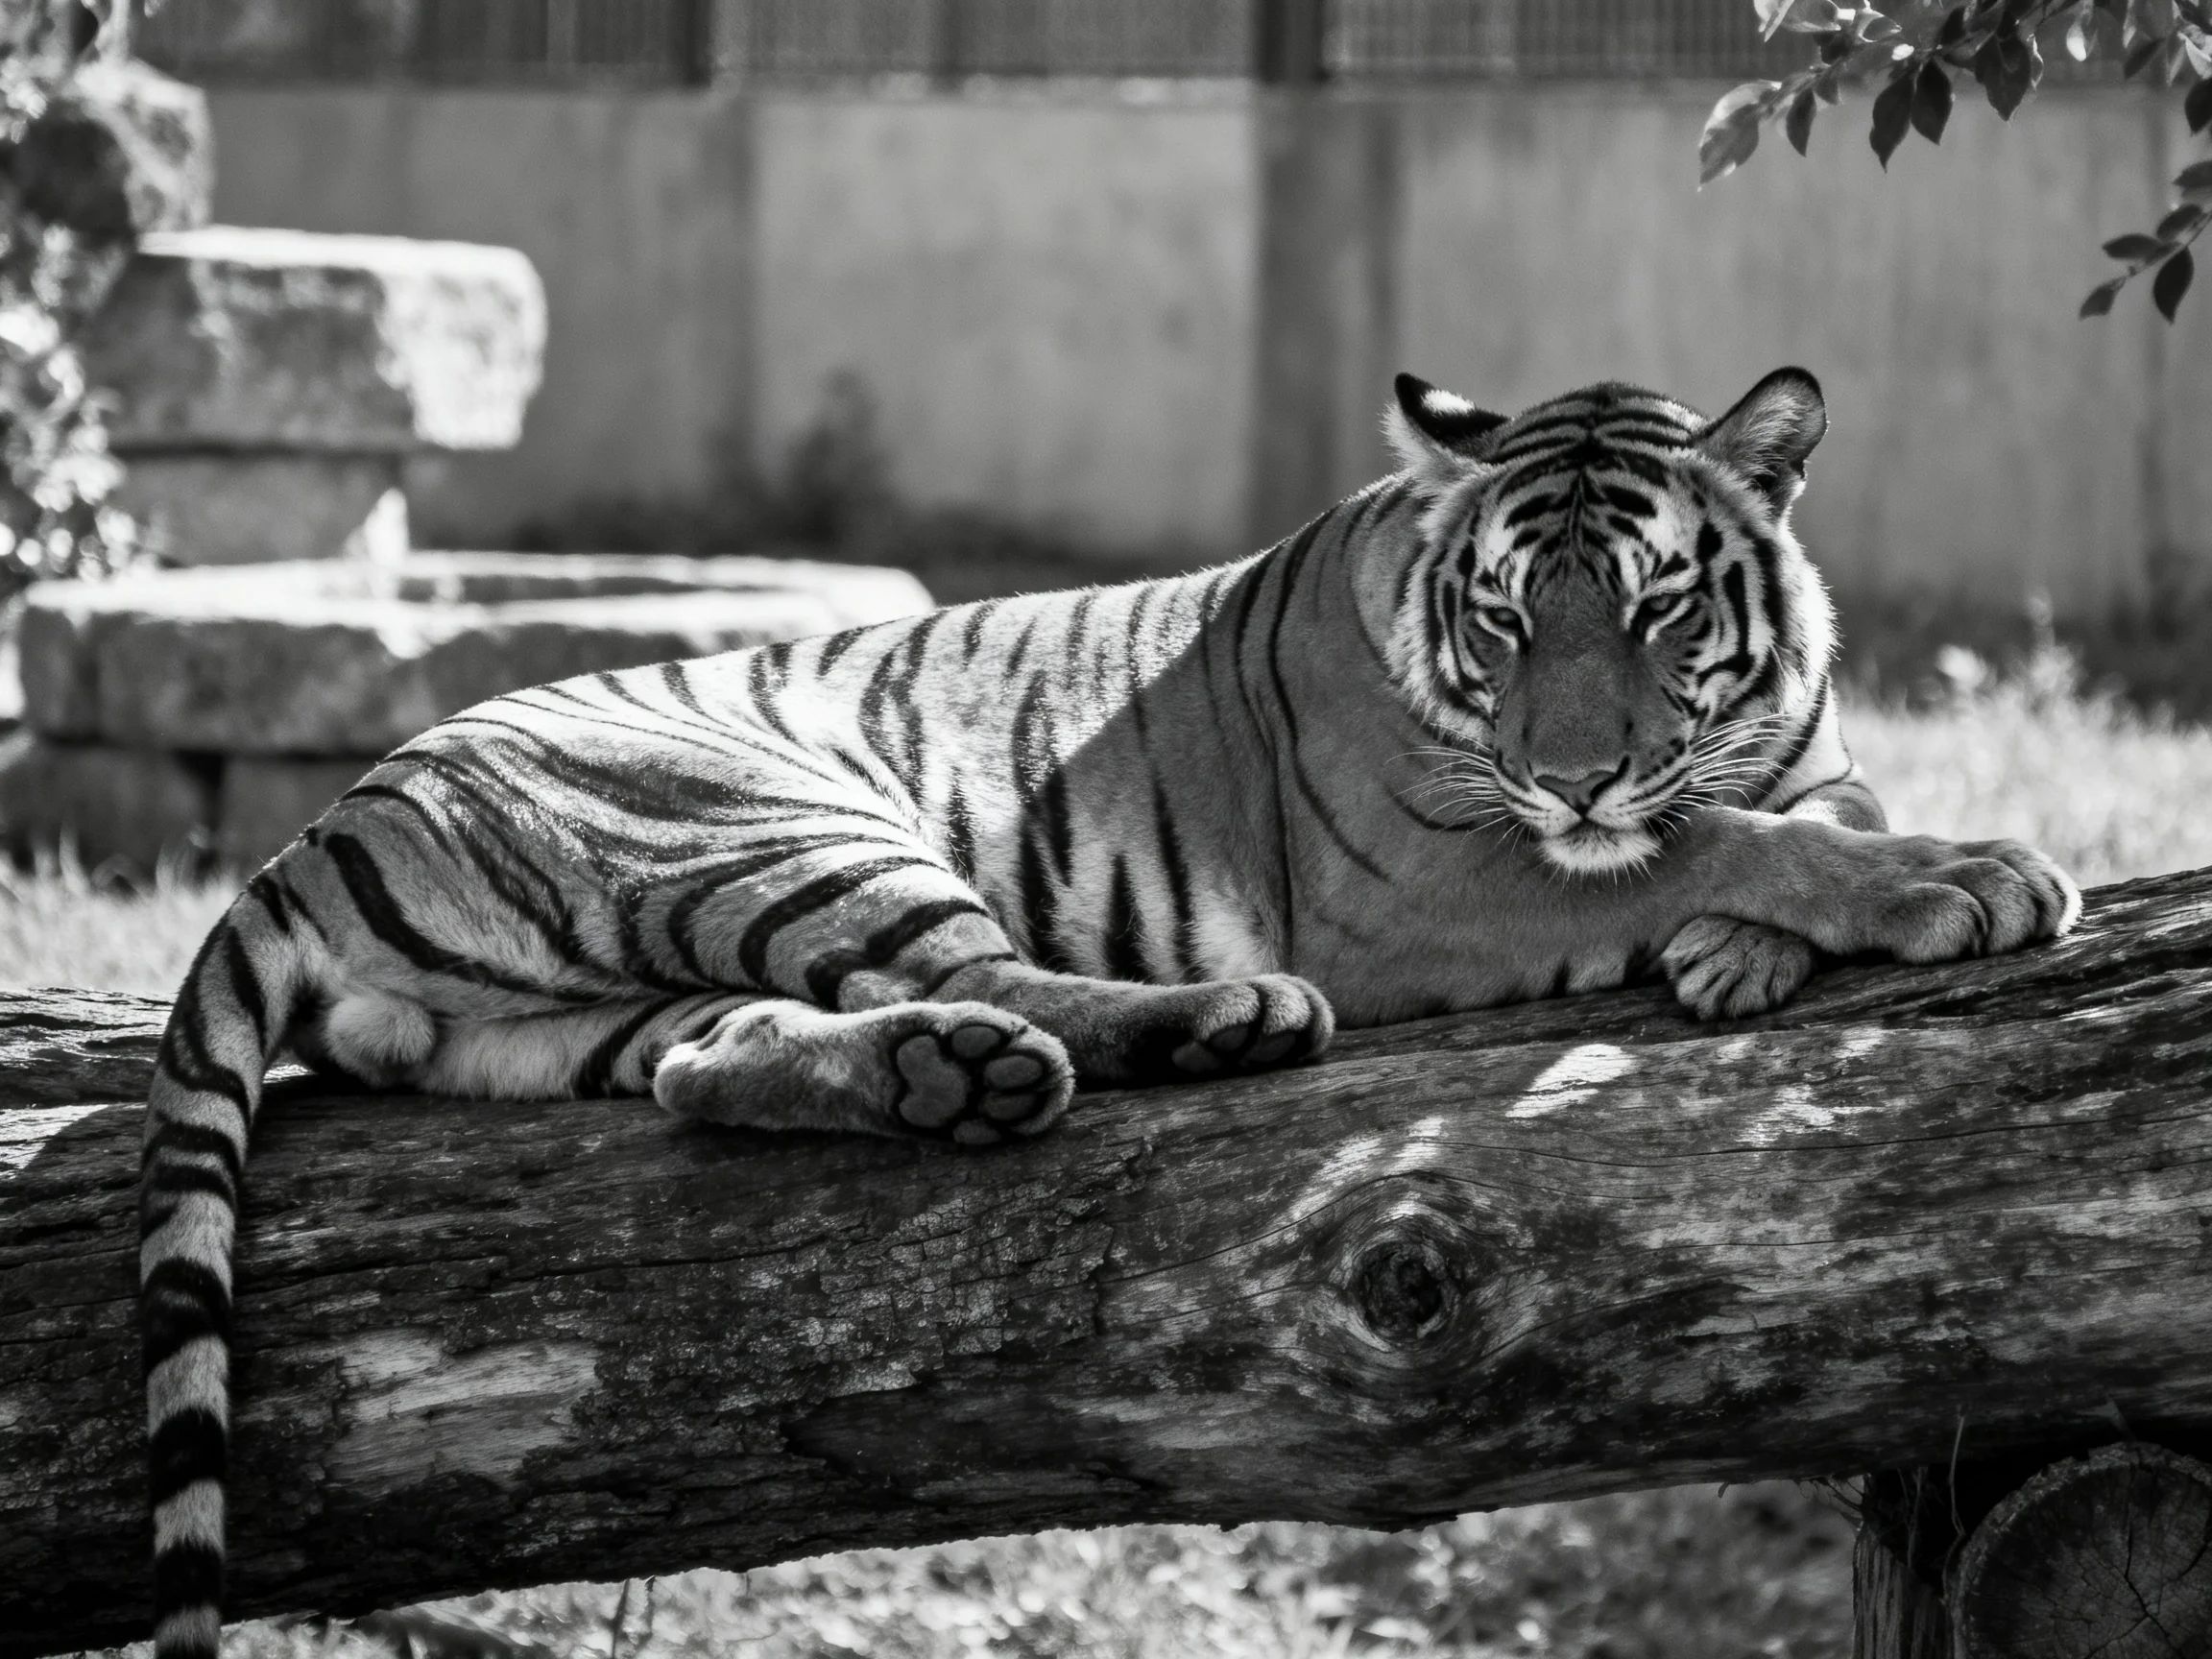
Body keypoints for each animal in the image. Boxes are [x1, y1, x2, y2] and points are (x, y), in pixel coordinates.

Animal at [137, 365, 2078, 1655]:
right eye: (1511, 621)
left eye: (1660, 608)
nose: (1570, 770)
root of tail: (317, 823)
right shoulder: (1441, 872)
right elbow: (1712, 846)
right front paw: (1957, 879)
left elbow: (1790, 820)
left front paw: (1759, 941)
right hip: (771, 809)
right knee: (993, 972)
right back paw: (1211, 1019)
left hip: (596, 1008)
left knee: (720, 1057)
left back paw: (950, 1079)